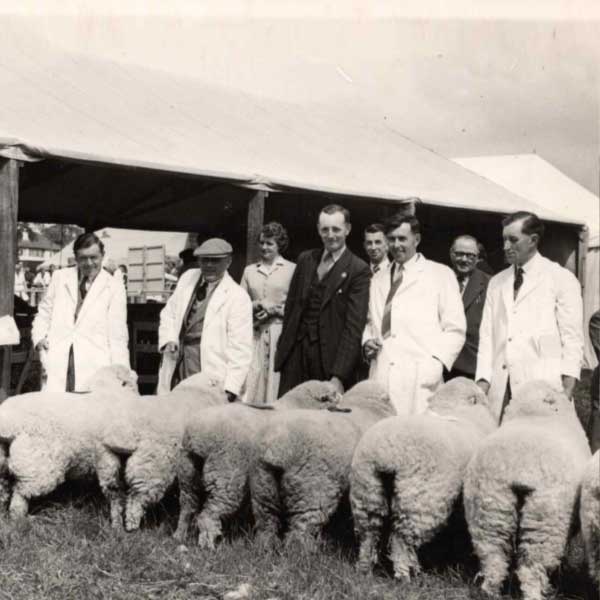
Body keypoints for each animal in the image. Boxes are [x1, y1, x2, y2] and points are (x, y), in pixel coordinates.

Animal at [176, 380, 340, 548]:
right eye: (332, 396)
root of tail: (196, 437)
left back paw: (180, 535)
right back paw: (208, 544)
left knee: (187, 507)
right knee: (208, 514)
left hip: (188, 473)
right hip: (225, 474)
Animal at [248, 380, 394, 544]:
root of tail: (276, 448)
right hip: (312, 492)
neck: (367, 405)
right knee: (299, 533)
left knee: (266, 523)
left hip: (263, 487)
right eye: (333, 394)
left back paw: (265, 544)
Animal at [346, 378, 496, 580]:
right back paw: (405, 574)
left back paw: (365, 569)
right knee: (401, 540)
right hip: (419, 500)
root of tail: (387, 453)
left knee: (369, 534)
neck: (453, 409)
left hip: (367, 492)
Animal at [464, 382, 592, 596]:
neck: (536, 415)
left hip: (490, 512)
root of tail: (519, 468)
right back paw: (537, 593)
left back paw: (490, 591)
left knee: (494, 559)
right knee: (531, 569)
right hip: (544, 522)